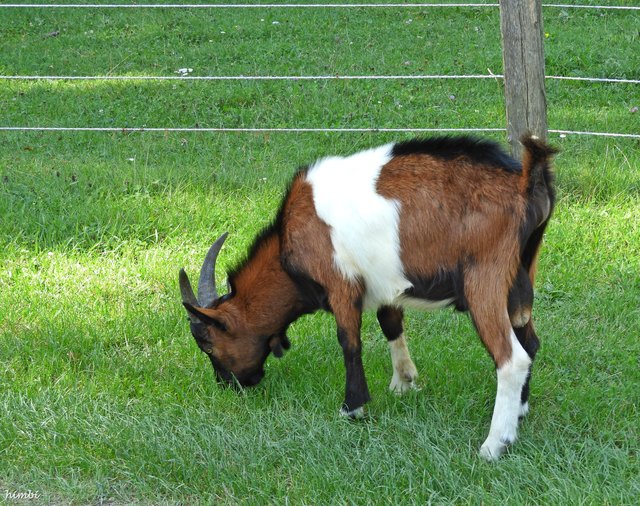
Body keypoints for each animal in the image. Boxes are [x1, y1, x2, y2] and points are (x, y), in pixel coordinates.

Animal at [179, 135, 557, 460]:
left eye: (208, 343)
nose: (230, 385)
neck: (289, 249)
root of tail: (526, 179)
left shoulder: (341, 284)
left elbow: (349, 342)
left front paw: (353, 407)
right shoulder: (385, 282)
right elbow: (390, 324)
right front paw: (403, 383)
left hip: (485, 278)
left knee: (512, 358)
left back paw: (495, 443)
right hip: (522, 275)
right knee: (530, 341)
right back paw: (519, 413)